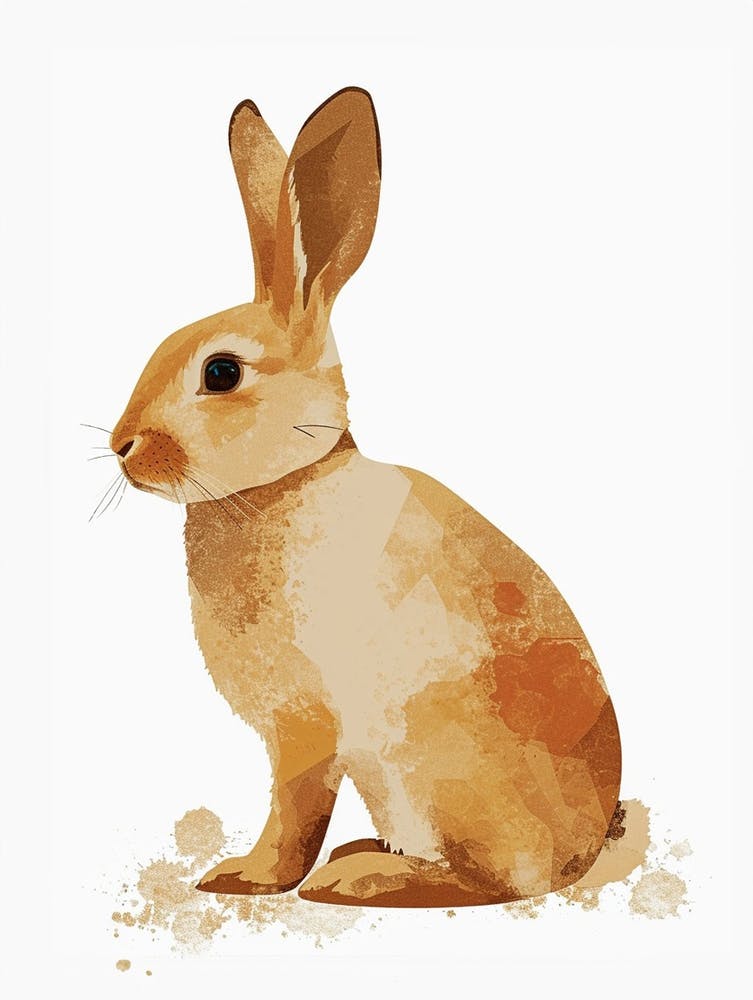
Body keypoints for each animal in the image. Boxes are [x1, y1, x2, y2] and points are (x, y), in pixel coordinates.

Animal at [110, 87, 621, 907]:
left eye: (221, 373)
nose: (121, 447)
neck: (286, 483)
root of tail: (583, 851)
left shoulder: (305, 728)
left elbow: (293, 812)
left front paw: (245, 877)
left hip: (430, 760)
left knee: (489, 882)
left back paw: (359, 877)